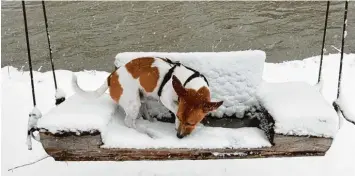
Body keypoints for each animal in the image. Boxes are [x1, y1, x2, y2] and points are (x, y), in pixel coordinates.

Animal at [71, 57, 222, 138]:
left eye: (191, 123)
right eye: (180, 118)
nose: (179, 136)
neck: (189, 82)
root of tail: (111, 77)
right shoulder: (165, 98)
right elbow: (175, 108)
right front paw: (176, 122)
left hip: (141, 98)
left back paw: (150, 120)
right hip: (133, 103)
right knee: (128, 122)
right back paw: (142, 133)